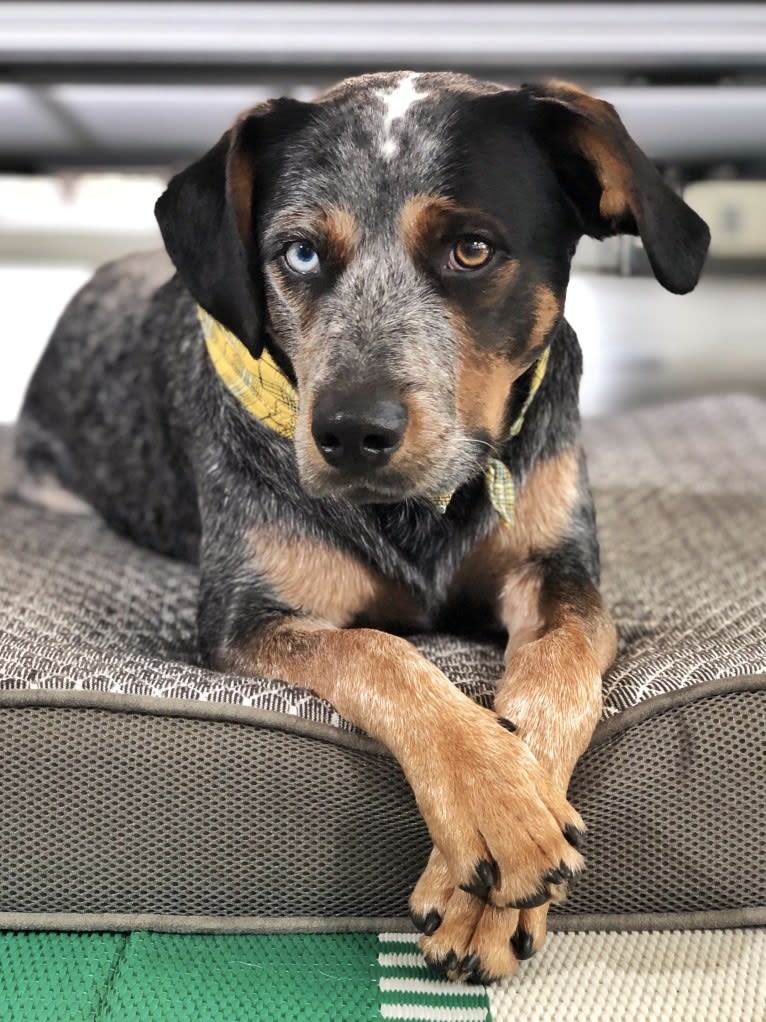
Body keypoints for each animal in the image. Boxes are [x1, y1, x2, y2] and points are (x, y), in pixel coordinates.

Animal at [18, 72, 710, 981]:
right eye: (301, 253)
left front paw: (496, 865)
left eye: (472, 251)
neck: (423, 509)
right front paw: (498, 807)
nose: (349, 432)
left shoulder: (561, 570)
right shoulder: (247, 617)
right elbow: (381, 654)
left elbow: (556, 671)